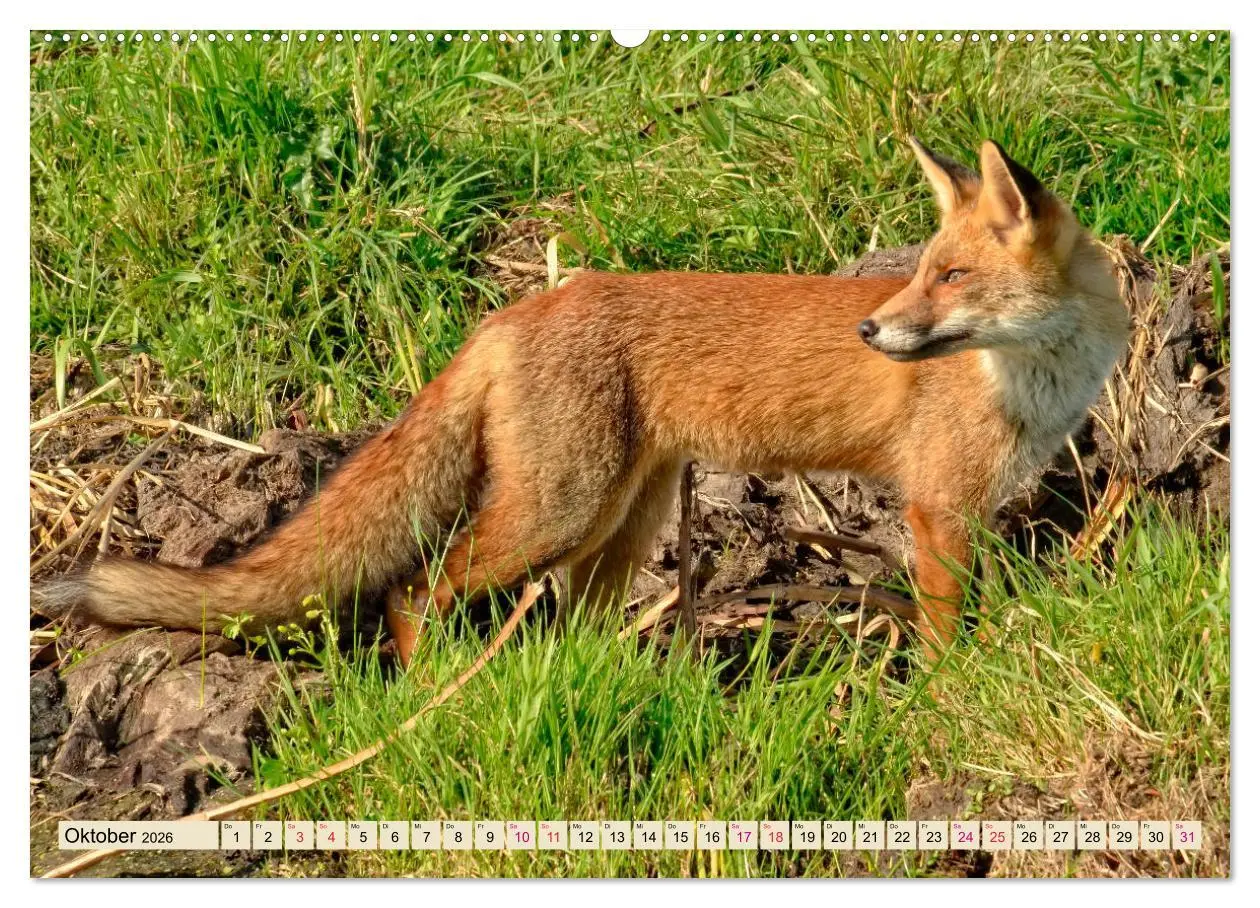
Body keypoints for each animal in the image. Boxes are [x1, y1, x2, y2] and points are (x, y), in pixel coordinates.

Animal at [40, 139, 1129, 666]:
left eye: (950, 276)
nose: (870, 332)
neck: (1033, 378)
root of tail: (519, 306)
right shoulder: (938, 508)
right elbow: (947, 636)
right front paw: (947, 696)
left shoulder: (965, 510)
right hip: (557, 513)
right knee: (411, 590)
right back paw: (435, 696)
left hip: (619, 524)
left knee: (569, 629)